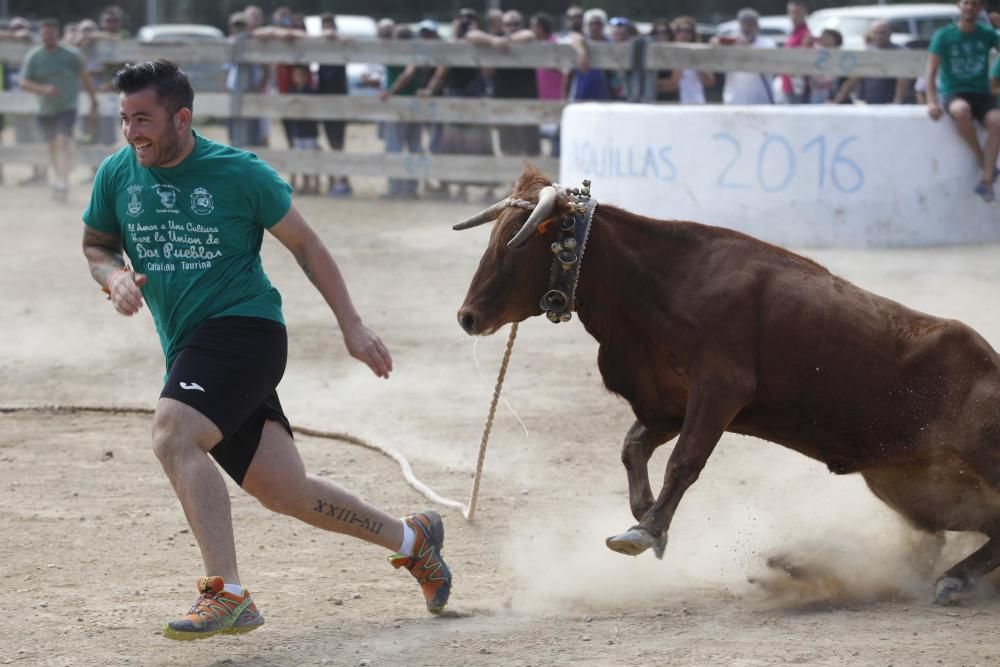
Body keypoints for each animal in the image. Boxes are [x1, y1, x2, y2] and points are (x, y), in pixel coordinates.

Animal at [458, 167, 1000, 604]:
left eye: (517, 242)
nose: (467, 316)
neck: (660, 280)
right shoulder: (668, 402)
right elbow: (633, 447)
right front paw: (647, 517)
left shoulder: (720, 390)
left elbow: (684, 462)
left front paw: (645, 531)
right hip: (907, 484)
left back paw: (951, 579)